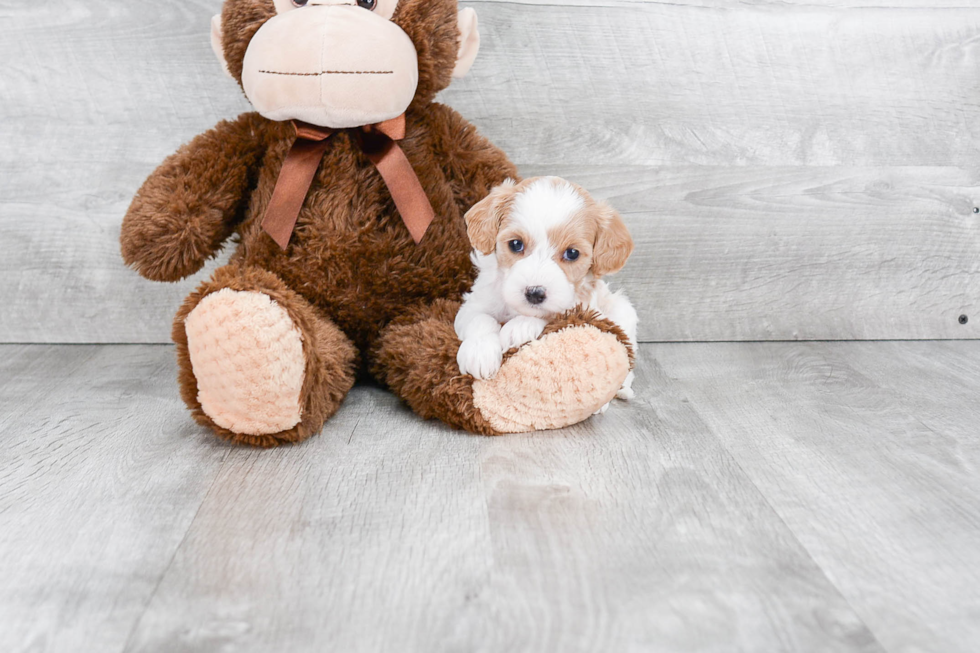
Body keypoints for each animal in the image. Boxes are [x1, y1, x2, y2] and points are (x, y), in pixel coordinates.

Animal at [456, 176, 640, 400]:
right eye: (516, 244)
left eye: (572, 253)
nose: (534, 293)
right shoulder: (473, 304)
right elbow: (481, 319)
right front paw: (479, 352)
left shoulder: (582, 307)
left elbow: (553, 315)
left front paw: (520, 327)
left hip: (623, 311)